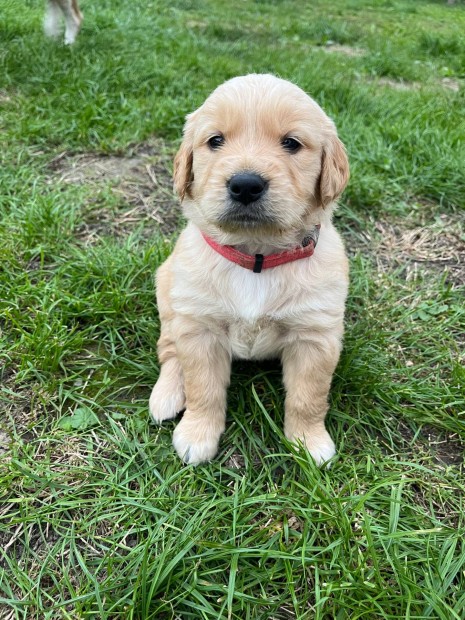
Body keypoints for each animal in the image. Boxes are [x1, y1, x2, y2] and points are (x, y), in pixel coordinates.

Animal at [150, 72, 350, 464]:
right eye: (215, 141)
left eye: (291, 143)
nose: (245, 184)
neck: (256, 257)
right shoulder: (199, 329)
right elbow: (203, 387)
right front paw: (197, 435)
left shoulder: (315, 335)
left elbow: (308, 396)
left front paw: (309, 442)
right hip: (169, 295)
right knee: (169, 350)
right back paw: (166, 395)